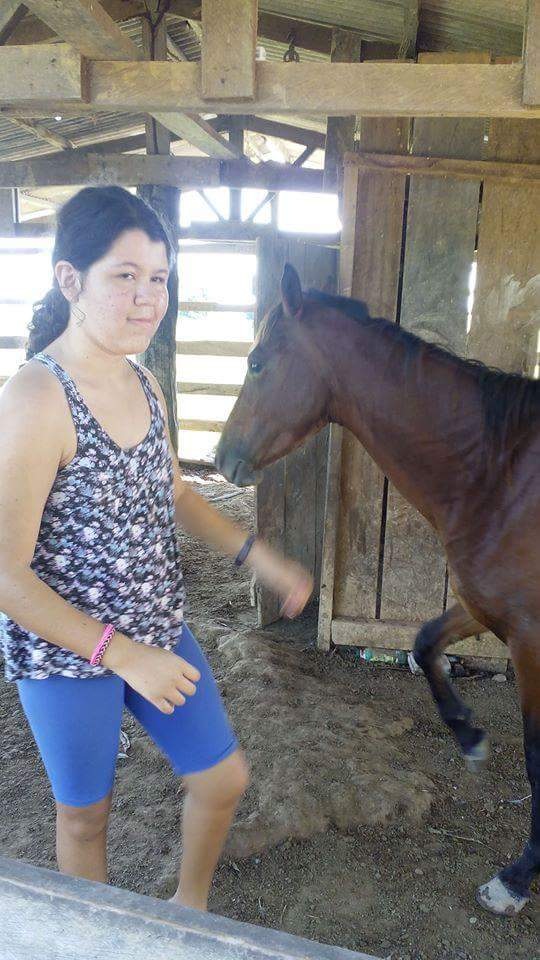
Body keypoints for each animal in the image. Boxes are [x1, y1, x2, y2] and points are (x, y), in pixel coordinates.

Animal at [215, 262, 540, 917]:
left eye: (258, 361)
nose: (221, 455)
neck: (500, 471)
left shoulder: (531, 639)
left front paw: (515, 880)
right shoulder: (487, 609)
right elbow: (423, 643)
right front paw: (469, 737)